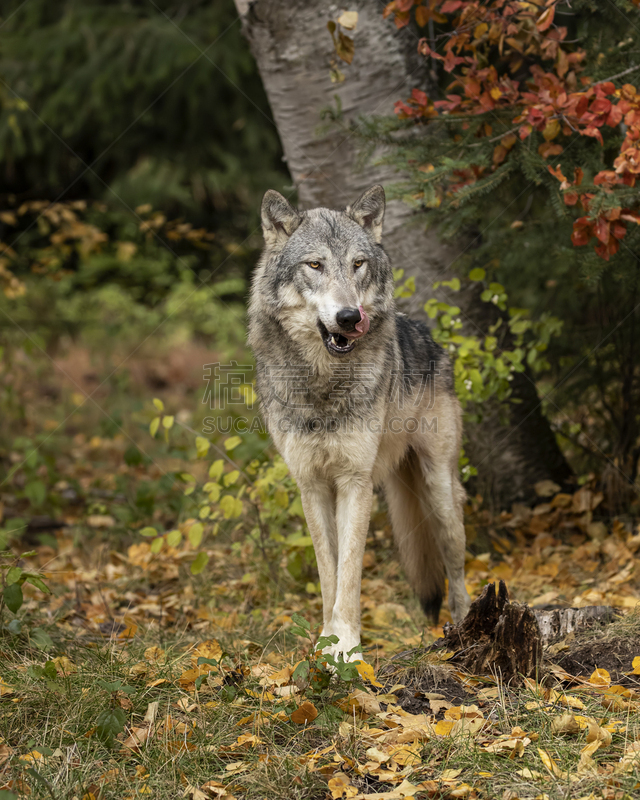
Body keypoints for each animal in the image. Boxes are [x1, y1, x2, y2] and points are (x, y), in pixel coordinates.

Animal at [249, 188, 470, 664]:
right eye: (315, 265)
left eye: (358, 264)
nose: (350, 317)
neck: (323, 383)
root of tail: (427, 334)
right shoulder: (312, 485)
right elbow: (328, 573)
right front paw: (326, 645)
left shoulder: (355, 481)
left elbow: (350, 573)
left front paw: (348, 650)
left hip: (439, 492)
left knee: (456, 565)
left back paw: (465, 628)